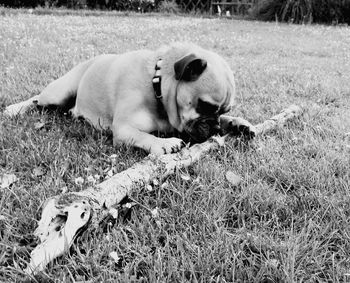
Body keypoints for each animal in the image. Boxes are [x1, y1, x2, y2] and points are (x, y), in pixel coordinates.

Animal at [2, 42, 256, 154]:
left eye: (223, 111)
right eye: (204, 106)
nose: (215, 127)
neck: (157, 85)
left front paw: (238, 123)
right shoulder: (123, 129)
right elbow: (144, 136)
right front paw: (164, 143)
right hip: (58, 92)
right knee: (37, 99)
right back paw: (14, 109)